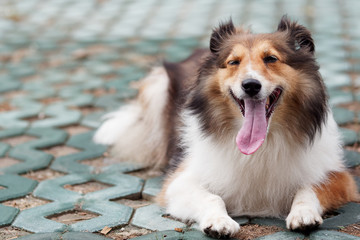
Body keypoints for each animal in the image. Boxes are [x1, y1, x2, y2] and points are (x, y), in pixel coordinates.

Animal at [94, 16, 358, 238]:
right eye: (233, 62)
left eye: (271, 59)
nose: (250, 85)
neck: (261, 146)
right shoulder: (178, 182)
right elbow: (212, 198)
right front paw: (219, 222)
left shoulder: (338, 176)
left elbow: (308, 188)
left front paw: (303, 214)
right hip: (157, 85)